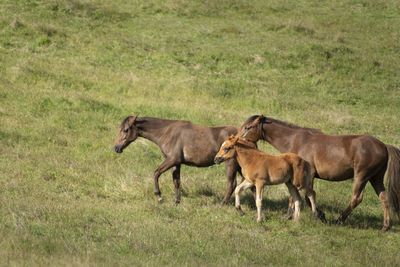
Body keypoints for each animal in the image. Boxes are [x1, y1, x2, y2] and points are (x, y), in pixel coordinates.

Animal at [114, 114, 242, 204]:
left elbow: (156, 173)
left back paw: (223, 203)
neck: (166, 132)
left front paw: (159, 197)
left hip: (230, 163)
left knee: (231, 184)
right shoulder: (176, 163)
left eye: (125, 130)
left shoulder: (172, 160)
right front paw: (177, 201)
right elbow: (176, 181)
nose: (116, 148)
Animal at [238, 114, 400, 231]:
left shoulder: (307, 176)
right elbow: (296, 197)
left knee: (356, 199)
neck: (296, 141)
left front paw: (319, 216)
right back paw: (385, 226)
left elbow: (306, 197)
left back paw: (339, 220)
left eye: (248, 127)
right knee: (384, 198)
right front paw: (290, 216)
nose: (237, 139)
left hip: (361, 176)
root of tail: (384, 146)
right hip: (375, 178)